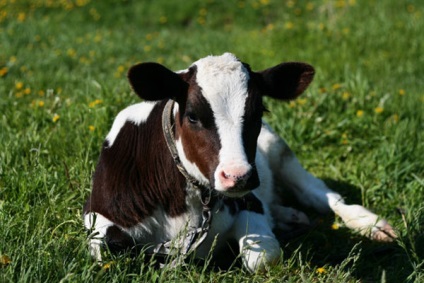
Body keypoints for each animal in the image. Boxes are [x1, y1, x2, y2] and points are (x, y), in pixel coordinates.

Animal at [83, 53, 398, 272]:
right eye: (193, 116)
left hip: (279, 150)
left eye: (259, 111)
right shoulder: (99, 217)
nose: (239, 177)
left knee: (322, 195)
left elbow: (263, 257)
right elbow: (108, 251)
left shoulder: (249, 201)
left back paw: (369, 224)